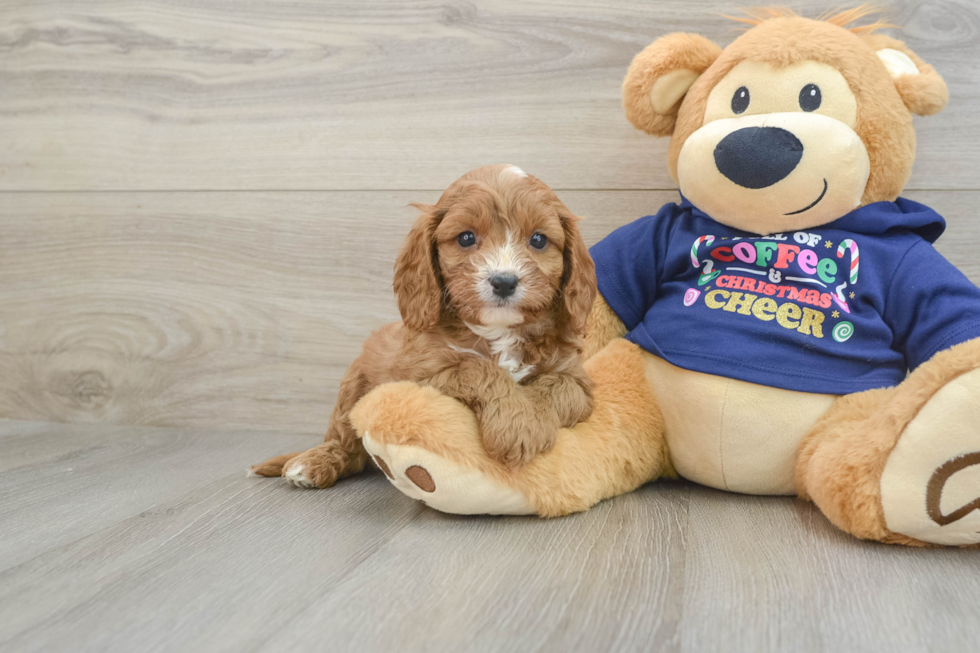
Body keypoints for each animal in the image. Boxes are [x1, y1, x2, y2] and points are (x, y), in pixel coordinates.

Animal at [251, 166, 596, 486]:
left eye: (538, 239)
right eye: (466, 237)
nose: (504, 281)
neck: (500, 331)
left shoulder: (578, 381)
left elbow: (557, 386)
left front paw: (529, 422)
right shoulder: (419, 376)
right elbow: (475, 368)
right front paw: (515, 425)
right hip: (353, 384)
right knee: (347, 446)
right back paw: (313, 462)